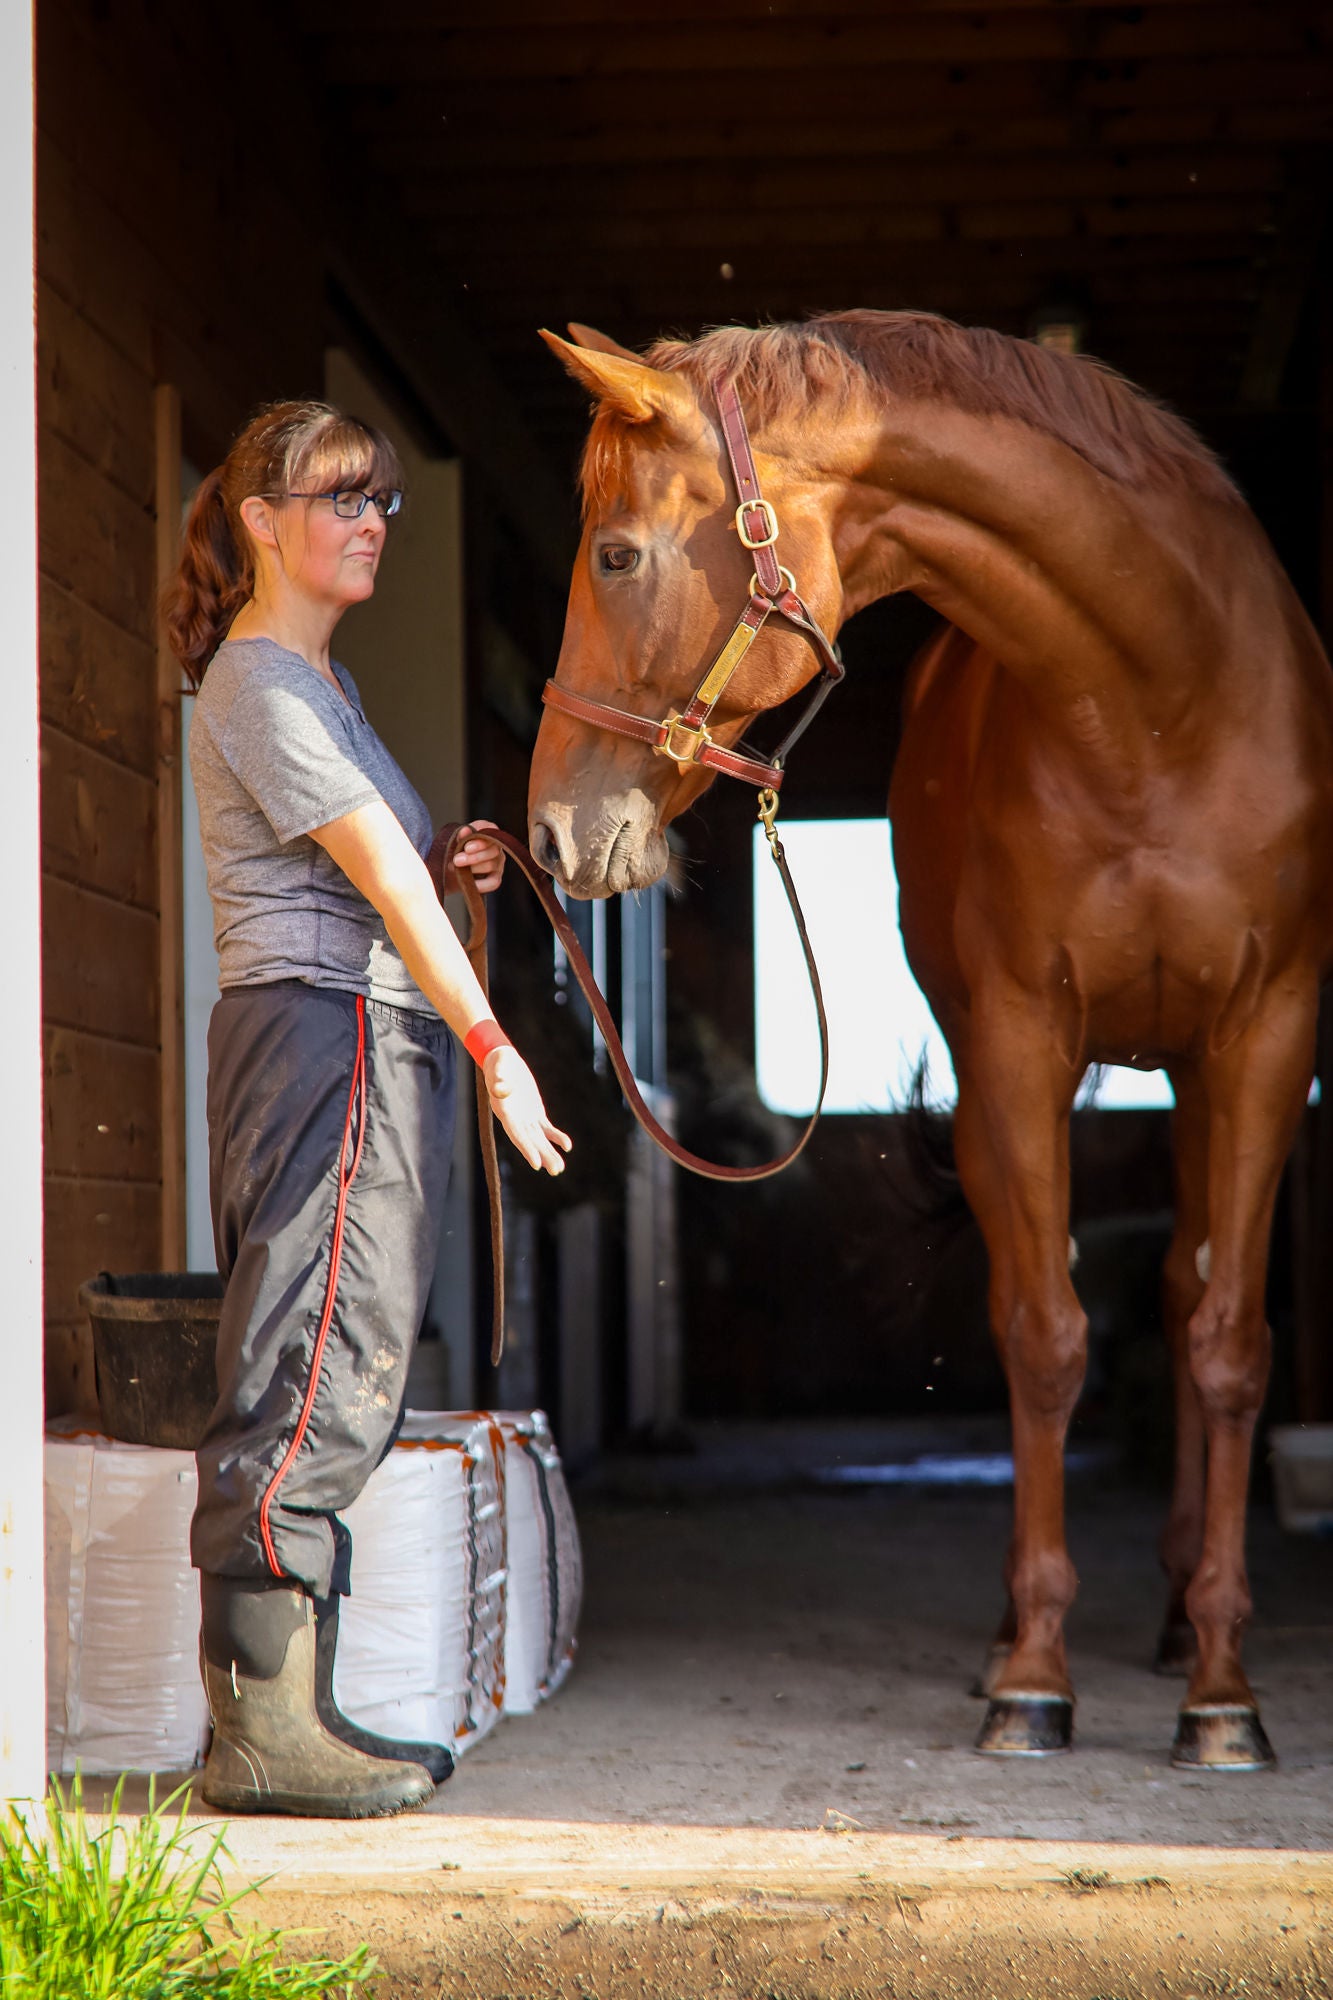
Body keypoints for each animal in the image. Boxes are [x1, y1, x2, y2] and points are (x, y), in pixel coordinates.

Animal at [528, 312, 1328, 1768]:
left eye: (615, 553)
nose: (551, 831)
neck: (1160, 707)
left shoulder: (1267, 1038)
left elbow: (1232, 1346)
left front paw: (1224, 1695)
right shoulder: (1016, 1040)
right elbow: (1045, 1336)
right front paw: (1033, 1678)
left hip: (1199, 1079)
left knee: (1185, 1299)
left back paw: (1181, 1618)